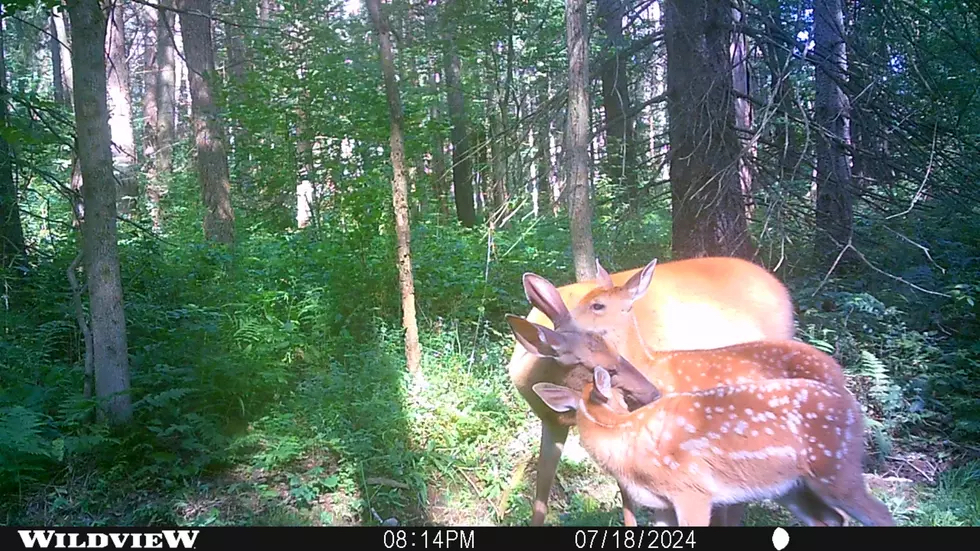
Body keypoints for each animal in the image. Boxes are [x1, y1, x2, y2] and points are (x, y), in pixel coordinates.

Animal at [530, 364, 896, 527]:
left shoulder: (692, 490)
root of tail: (855, 409)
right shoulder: (661, 505)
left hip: (837, 467)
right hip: (792, 487)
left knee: (881, 514)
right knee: (831, 520)